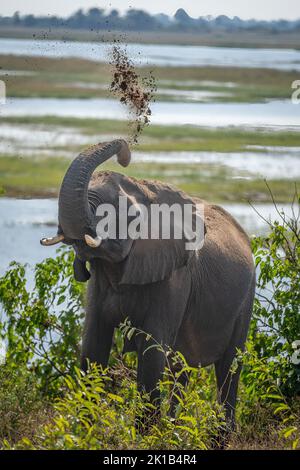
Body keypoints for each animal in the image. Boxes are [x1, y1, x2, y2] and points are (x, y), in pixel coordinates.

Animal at [40, 140, 255, 434]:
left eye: (120, 212)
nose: (125, 152)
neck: (144, 187)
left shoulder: (176, 276)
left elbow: (152, 352)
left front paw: (144, 436)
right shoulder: (99, 281)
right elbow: (93, 346)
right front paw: (84, 433)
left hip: (246, 298)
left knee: (229, 368)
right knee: (180, 368)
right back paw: (177, 429)